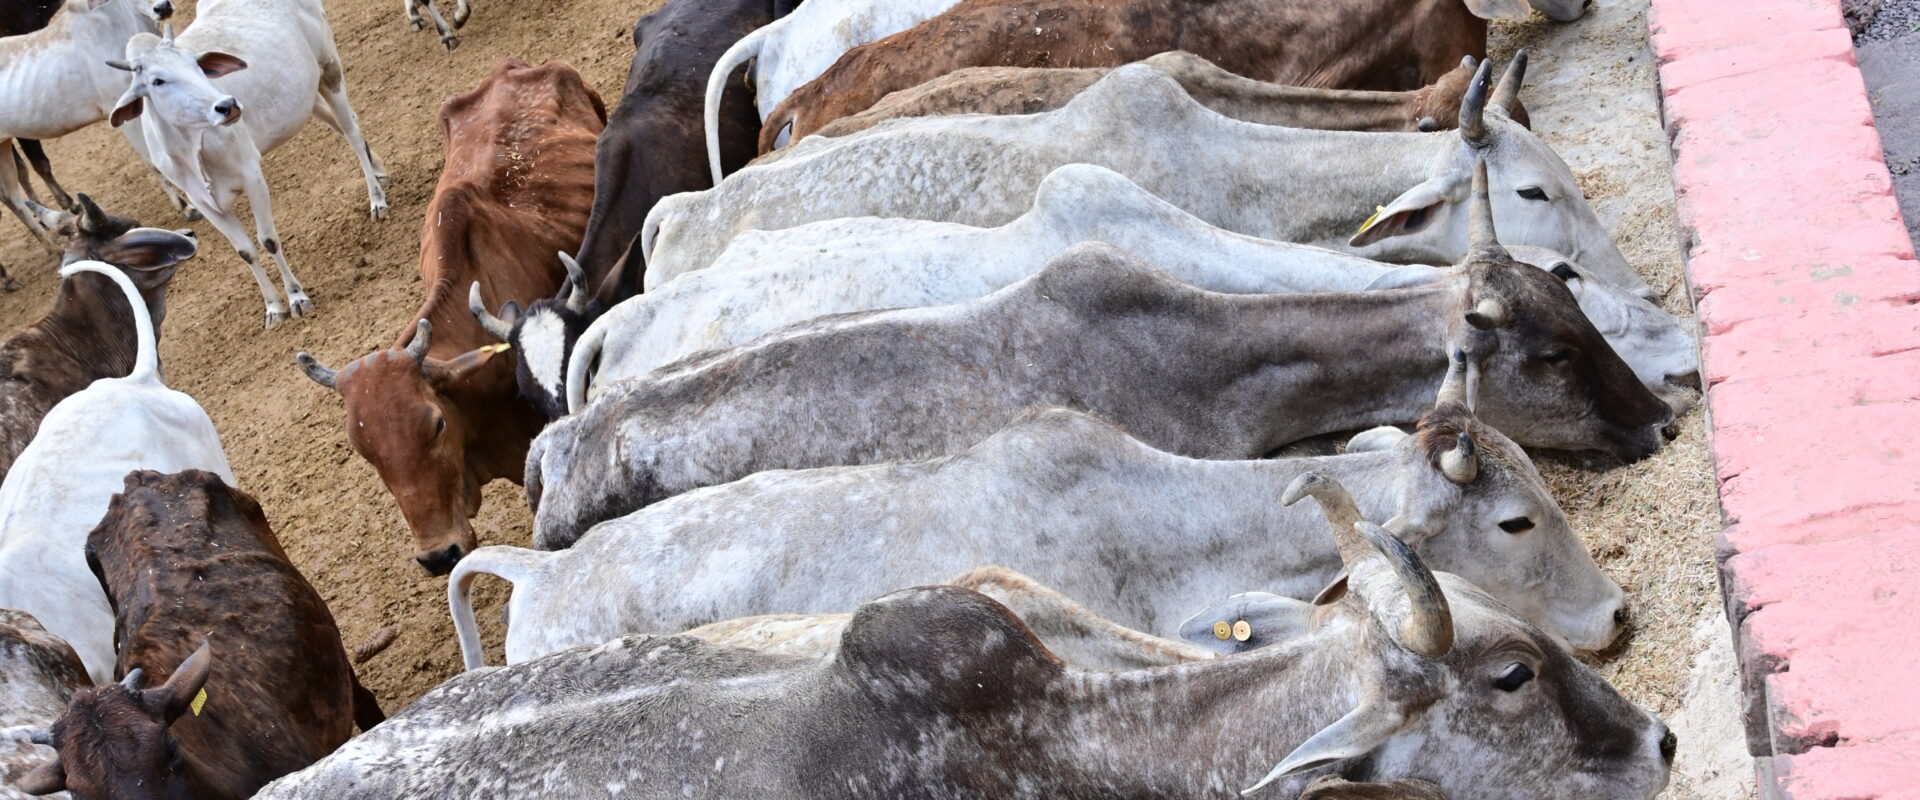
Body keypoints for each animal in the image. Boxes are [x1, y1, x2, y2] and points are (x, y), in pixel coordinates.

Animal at [107, 0, 390, 329]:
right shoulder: (205, 205)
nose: (226, 105)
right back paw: (380, 171)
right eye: (157, 81)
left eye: (196, 65)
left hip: (329, 70)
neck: (192, 151)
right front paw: (273, 307)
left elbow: (268, 240)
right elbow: (245, 251)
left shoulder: (252, 176)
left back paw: (377, 200)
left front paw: (296, 298)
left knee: (351, 130)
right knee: (341, 125)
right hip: (305, 95)